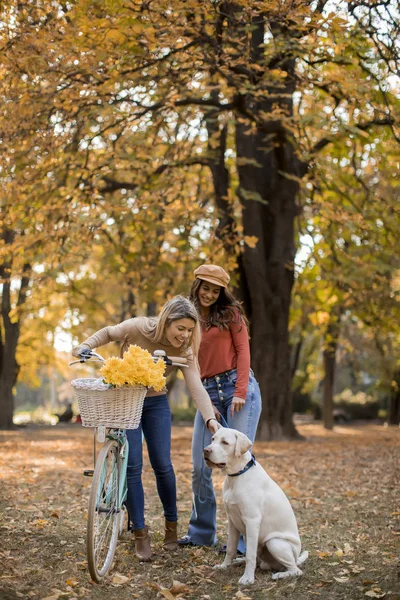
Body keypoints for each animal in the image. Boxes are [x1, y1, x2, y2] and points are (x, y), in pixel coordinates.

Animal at [205, 426, 308, 584]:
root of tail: (296, 558)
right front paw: (224, 566)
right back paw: (238, 561)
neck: (237, 476)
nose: (206, 450)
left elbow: (250, 556)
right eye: (212, 439)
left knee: (296, 570)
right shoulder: (232, 521)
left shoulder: (252, 521)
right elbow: (231, 548)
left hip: (275, 542)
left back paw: (280, 575)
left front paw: (248, 578)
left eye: (225, 442)